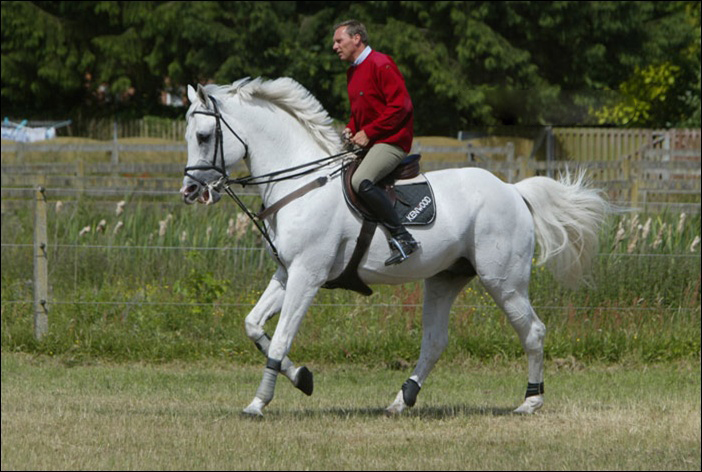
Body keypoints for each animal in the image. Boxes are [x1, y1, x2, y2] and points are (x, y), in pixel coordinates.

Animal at [182, 76, 612, 416]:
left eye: (203, 137)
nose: (190, 191)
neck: (301, 183)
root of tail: (512, 190)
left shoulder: (307, 274)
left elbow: (281, 337)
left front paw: (259, 403)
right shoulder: (287, 272)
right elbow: (254, 326)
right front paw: (302, 378)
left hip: (503, 281)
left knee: (533, 331)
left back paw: (531, 400)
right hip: (445, 278)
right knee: (435, 341)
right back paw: (402, 399)